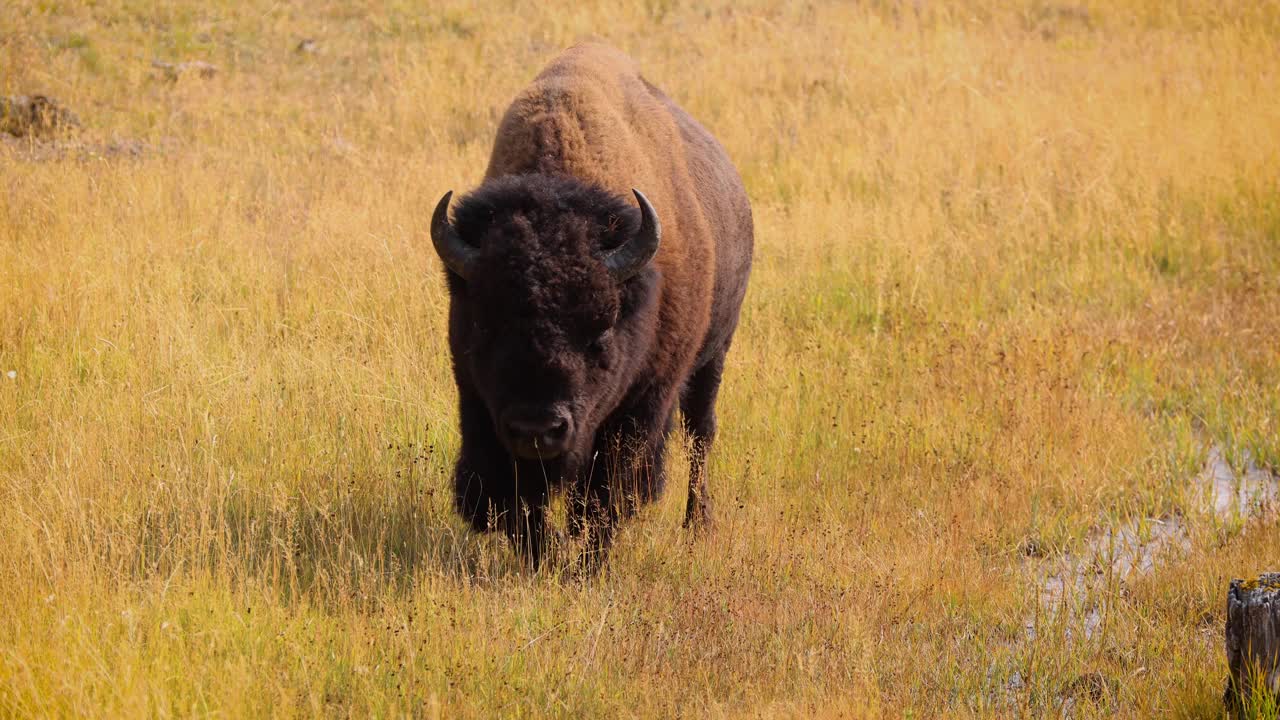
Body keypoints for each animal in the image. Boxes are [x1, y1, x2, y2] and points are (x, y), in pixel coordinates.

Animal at [432, 41, 747, 566]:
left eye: (600, 331)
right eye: (485, 327)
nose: (537, 428)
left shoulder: (643, 402)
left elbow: (608, 493)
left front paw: (585, 563)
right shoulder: (478, 401)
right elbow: (514, 498)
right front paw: (547, 556)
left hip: (714, 355)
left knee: (701, 434)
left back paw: (698, 525)